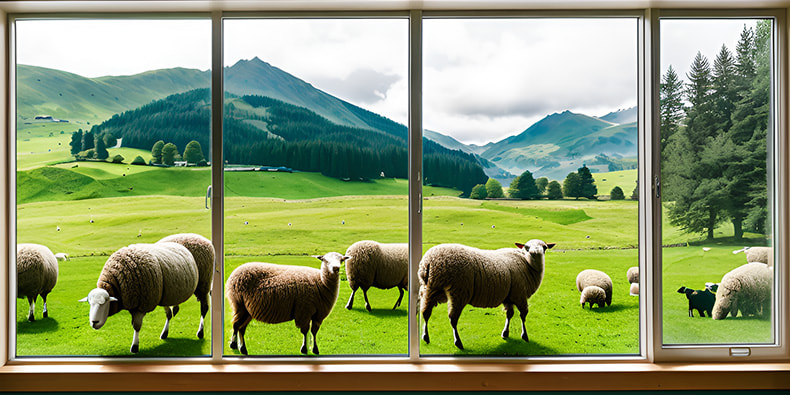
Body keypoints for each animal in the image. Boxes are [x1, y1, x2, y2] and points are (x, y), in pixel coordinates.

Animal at [418, 240, 552, 352]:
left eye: (544, 247)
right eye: (526, 247)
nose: (535, 253)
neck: (527, 264)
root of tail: (430, 261)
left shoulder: (509, 297)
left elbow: (509, 315)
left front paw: (505, 333)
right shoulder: (519, 295)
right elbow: (523, 316)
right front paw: (524, 336)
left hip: (429, 289)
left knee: (425, 312)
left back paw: (425, 337)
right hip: (458, 291)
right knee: (453, 319)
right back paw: (458, 343)